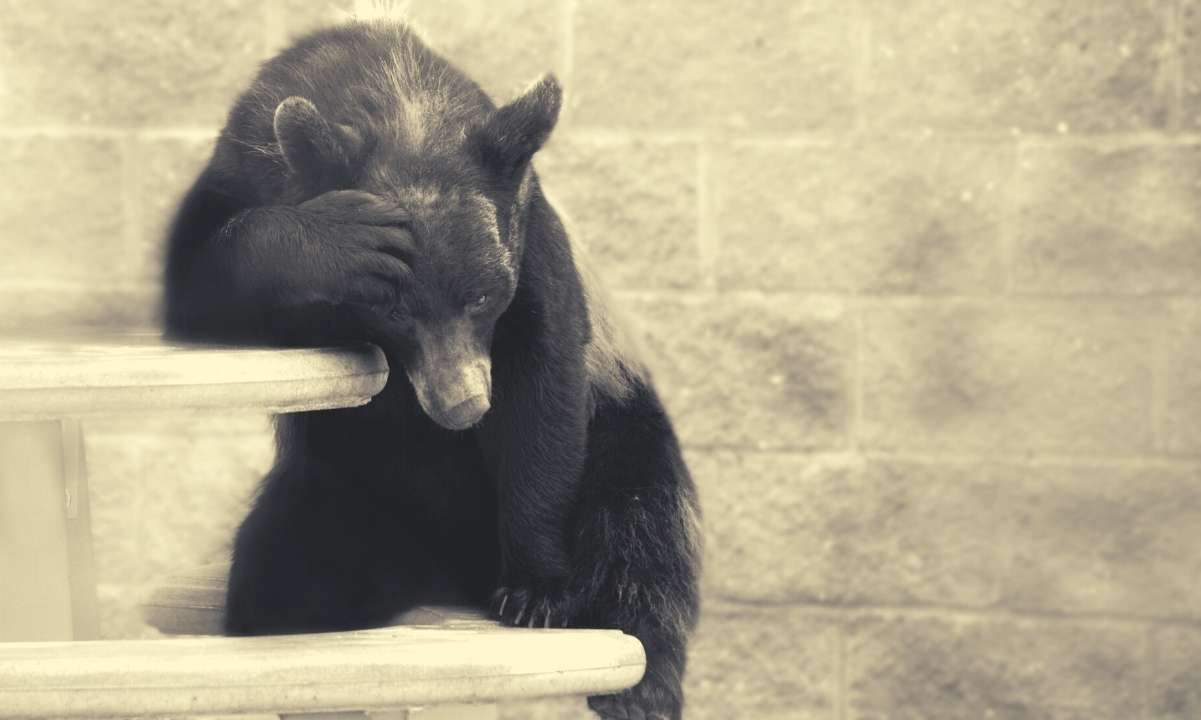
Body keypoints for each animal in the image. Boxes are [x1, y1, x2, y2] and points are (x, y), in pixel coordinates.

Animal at [162, 19, 701, 720]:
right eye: (395, 312)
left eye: (481, 296)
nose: (462, 407)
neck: (398, 90)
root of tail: (448, 573)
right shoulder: (234, 170)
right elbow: (193, 279)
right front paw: (345, 239)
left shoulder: (533, 243)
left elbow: (543, 387)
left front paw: (535, 594)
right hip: (346, 488)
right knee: (289, 566)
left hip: (623, 427)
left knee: (641, 530)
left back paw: (640, 683)